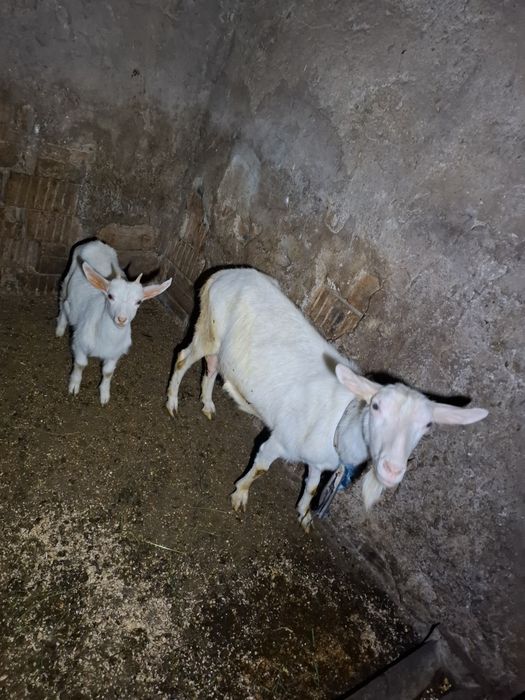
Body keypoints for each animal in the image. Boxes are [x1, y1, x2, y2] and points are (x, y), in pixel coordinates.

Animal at [57, 240, 172, 404]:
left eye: (138, 302)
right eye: (110, 296)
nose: (121, 319)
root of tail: (95, 241)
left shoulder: (115, 353)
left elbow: (108, 372)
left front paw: (104, 396)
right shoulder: (80, 344)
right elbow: (80, 364)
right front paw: (74, 386)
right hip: (68, 277)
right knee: (63, 300)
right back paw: (60, 328)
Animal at [166, 268, 488, 531]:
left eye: (428, 426)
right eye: (376, 406)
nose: (392, 470)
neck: (340, 422)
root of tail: (221, 275)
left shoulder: (319, 461)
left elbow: (311, 487)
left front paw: (304, 515)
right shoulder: (280, 440)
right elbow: (260, 469)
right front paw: (240, 495)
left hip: (219, 343)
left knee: (211, 366)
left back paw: (207, 405)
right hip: (209, 329)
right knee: (183, 358)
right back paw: (172, 403)